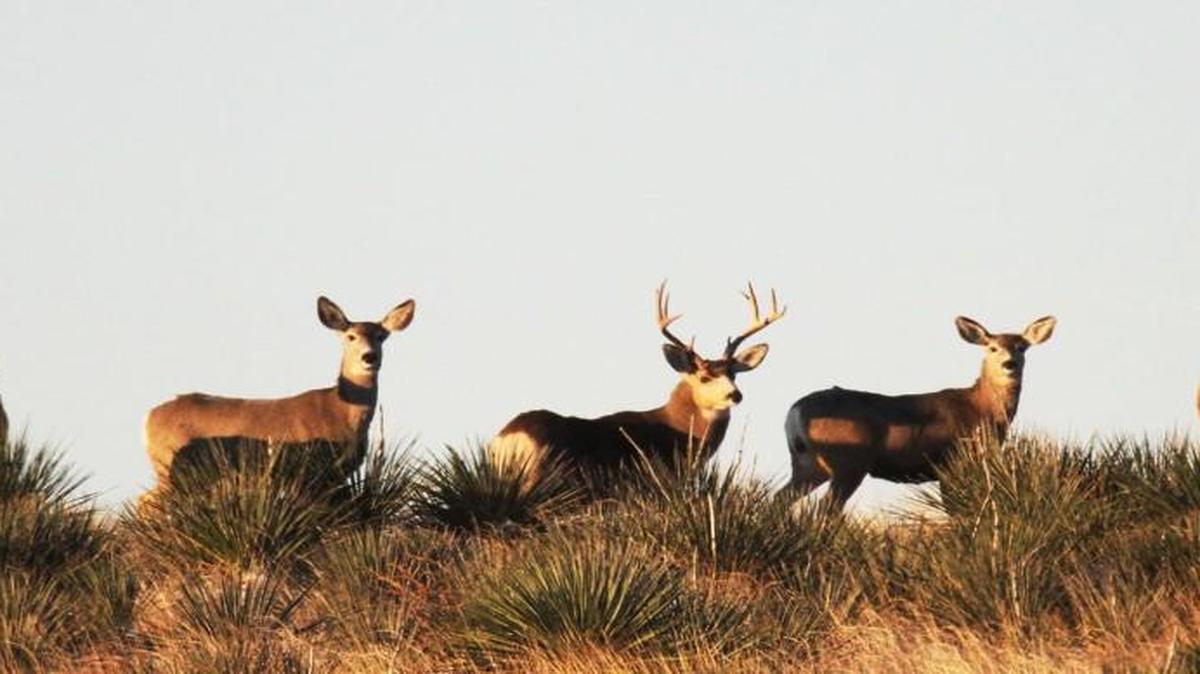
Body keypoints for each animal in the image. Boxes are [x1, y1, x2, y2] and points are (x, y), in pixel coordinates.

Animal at [143, 295, 415, 500]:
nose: (369, 357)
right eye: (351, 337)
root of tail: (149, 417)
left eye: (381, 336)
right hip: (169, 466)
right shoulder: (313, 470)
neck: (339, 413)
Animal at [783, 314, 1056, 510]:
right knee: (825, 509)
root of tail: (795, 411)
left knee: (781, 499)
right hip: (847, 461)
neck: (981, 410)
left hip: (809, 463)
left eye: (1022, 347)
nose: (1009, 364)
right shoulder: (951, 462)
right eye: (991, 347)